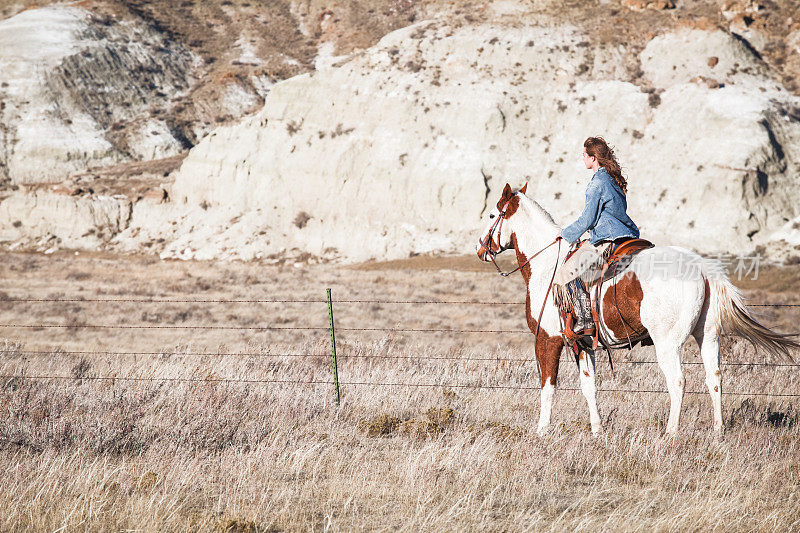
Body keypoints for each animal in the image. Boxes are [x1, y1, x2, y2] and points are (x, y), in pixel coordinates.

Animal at [478, 183, 796, 436]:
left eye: (493, 215)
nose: (481, 248)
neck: (548, 264)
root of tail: (701, 267)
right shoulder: (583, 343)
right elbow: (589, 386)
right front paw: (597, 430)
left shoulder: (548, 340)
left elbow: (548, 386)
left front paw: (542, 430)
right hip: (707, 336)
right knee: (714, 378)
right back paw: (718, 431)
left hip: (668, 343)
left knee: (678, 382)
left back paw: (670, 432)